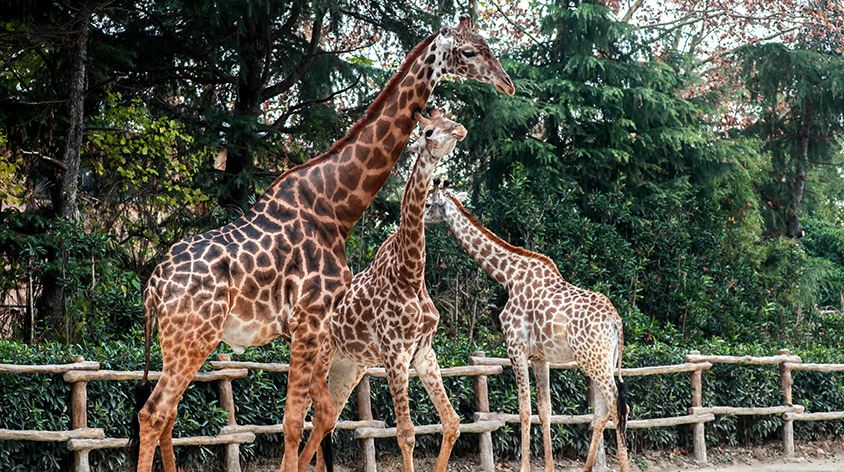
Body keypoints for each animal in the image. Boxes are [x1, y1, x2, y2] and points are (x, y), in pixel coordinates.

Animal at [304, 108, 464, 472]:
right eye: (428, 131)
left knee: (324, 419)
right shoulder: (395, 352)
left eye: (449, 117)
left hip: (348, 366)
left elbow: (452, 422)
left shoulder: (423, 352)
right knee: (300, 418)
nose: (460, 129)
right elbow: (405, 433)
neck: (411, 274)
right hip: (319, 359)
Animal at [426, 182, 628, 472]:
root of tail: (616, 321)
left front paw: (525, 466)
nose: (417, 217)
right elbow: (545, 410)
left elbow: (524, 409)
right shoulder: (540, 357)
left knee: (616, 406)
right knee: (603, 410)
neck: (508, 277)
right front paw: (549, 467)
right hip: (603, 360)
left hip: (593, 360)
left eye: (429, 204)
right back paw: (588, 467)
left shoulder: (516, 348)